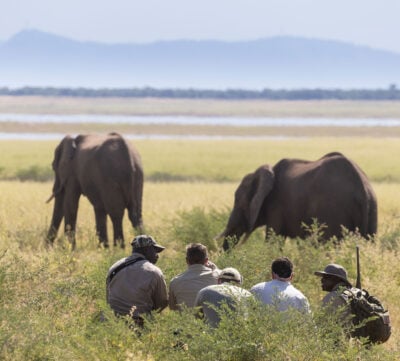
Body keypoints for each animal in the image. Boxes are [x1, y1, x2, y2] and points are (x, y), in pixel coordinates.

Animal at [217, 150, 376, 249]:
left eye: (239, 202)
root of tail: (361, 189)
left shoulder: (276, 205)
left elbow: (273, 240)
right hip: (372, 210)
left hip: (333, 211)